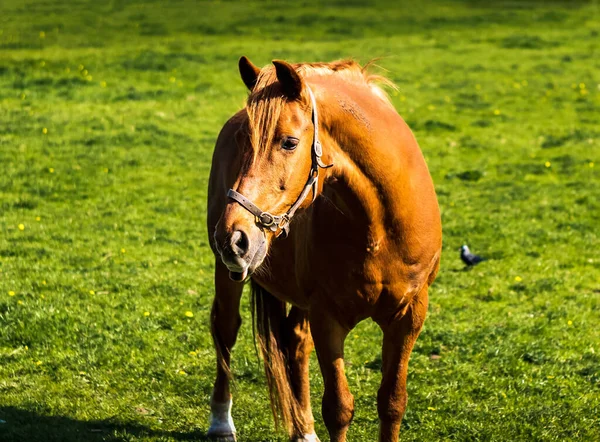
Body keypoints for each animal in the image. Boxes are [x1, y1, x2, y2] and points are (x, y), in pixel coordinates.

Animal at [206, 56, 440, 442]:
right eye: (243, 140)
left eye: (288, 142)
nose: (233, 237)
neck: (379, 229)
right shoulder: (327, 317)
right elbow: (339, 408)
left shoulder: (409, 316)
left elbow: (392, 402)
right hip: (229, 275)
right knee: (226, 327)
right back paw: (221, 422)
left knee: (295, 343)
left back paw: (303, 430)